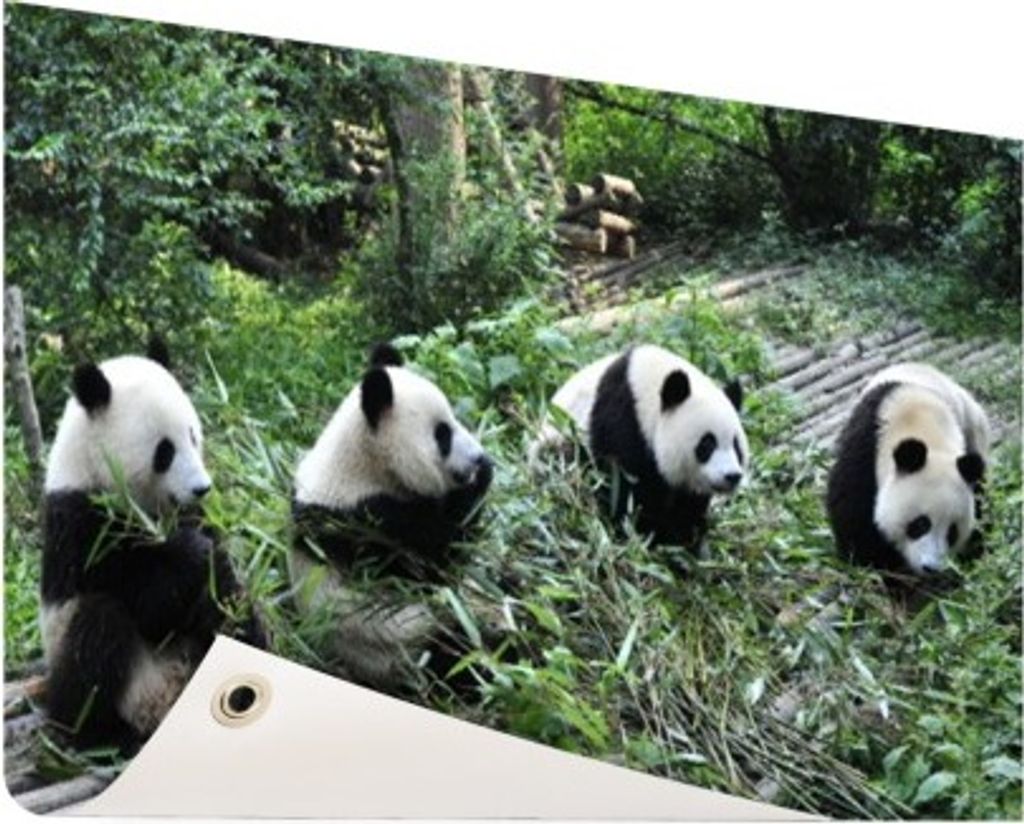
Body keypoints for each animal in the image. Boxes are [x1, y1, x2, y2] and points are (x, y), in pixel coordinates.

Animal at [40, 340, 266, 751]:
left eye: (193, 435)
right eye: (165, 451)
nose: (202, 488)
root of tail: (162, 713)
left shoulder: (196, 514)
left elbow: (218, 588)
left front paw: (211, 563)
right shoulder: (80, 523)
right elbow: (148, 601)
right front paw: (192, 553)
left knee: (238, 612)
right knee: (99, 630)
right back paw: (99, 736)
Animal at [290, 343, 493, 689]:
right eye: (442, 435)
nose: (478, 457)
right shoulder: (365, 522)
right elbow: (434, 563)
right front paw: (480, 480)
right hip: (406, 645)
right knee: (460, 655)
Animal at [539, 344, 749, 548]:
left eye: (736, 446)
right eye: (707, 444)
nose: (732, 476)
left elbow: (688, 505)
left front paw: (687, 539)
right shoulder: (621, 422)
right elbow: (624, 488)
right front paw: (648, 535)